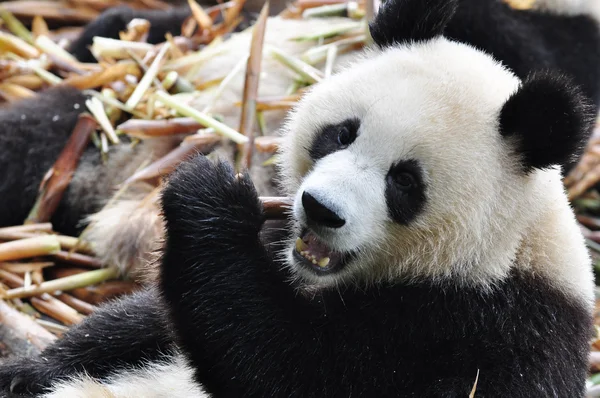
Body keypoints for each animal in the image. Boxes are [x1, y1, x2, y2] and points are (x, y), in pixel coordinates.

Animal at [1, 0, 600, 394]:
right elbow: (137, 324)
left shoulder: (489, 331)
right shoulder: (279, 242)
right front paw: (28, 373)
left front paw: (211, 200)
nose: (320, 209)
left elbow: (286, 362)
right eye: (340, 134)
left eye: (405, 182)